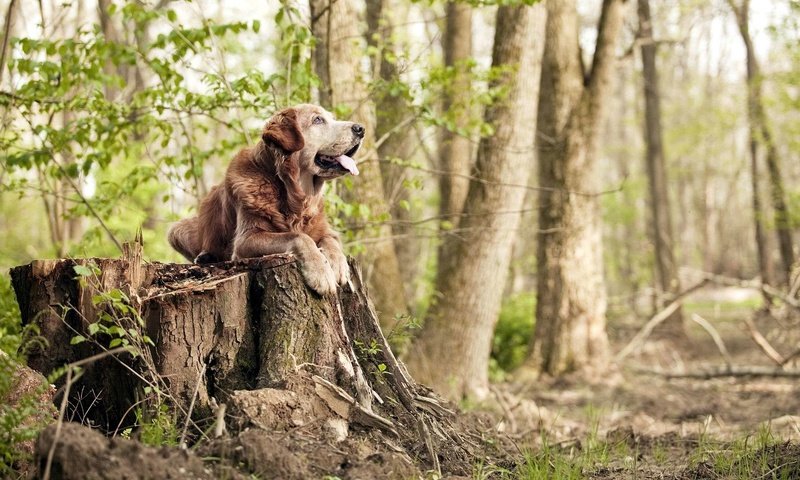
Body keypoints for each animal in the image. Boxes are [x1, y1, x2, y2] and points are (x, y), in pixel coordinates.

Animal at [169, 103, 362, 294]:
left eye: (332, 118)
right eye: (317, 120)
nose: (361, 129)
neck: (294, 196)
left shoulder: (325, 229)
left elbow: (331, 241)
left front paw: (338, 265)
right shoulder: (246, 239)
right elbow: (299, 237)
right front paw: (320, 272)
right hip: (176, 229)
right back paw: (205, 256)